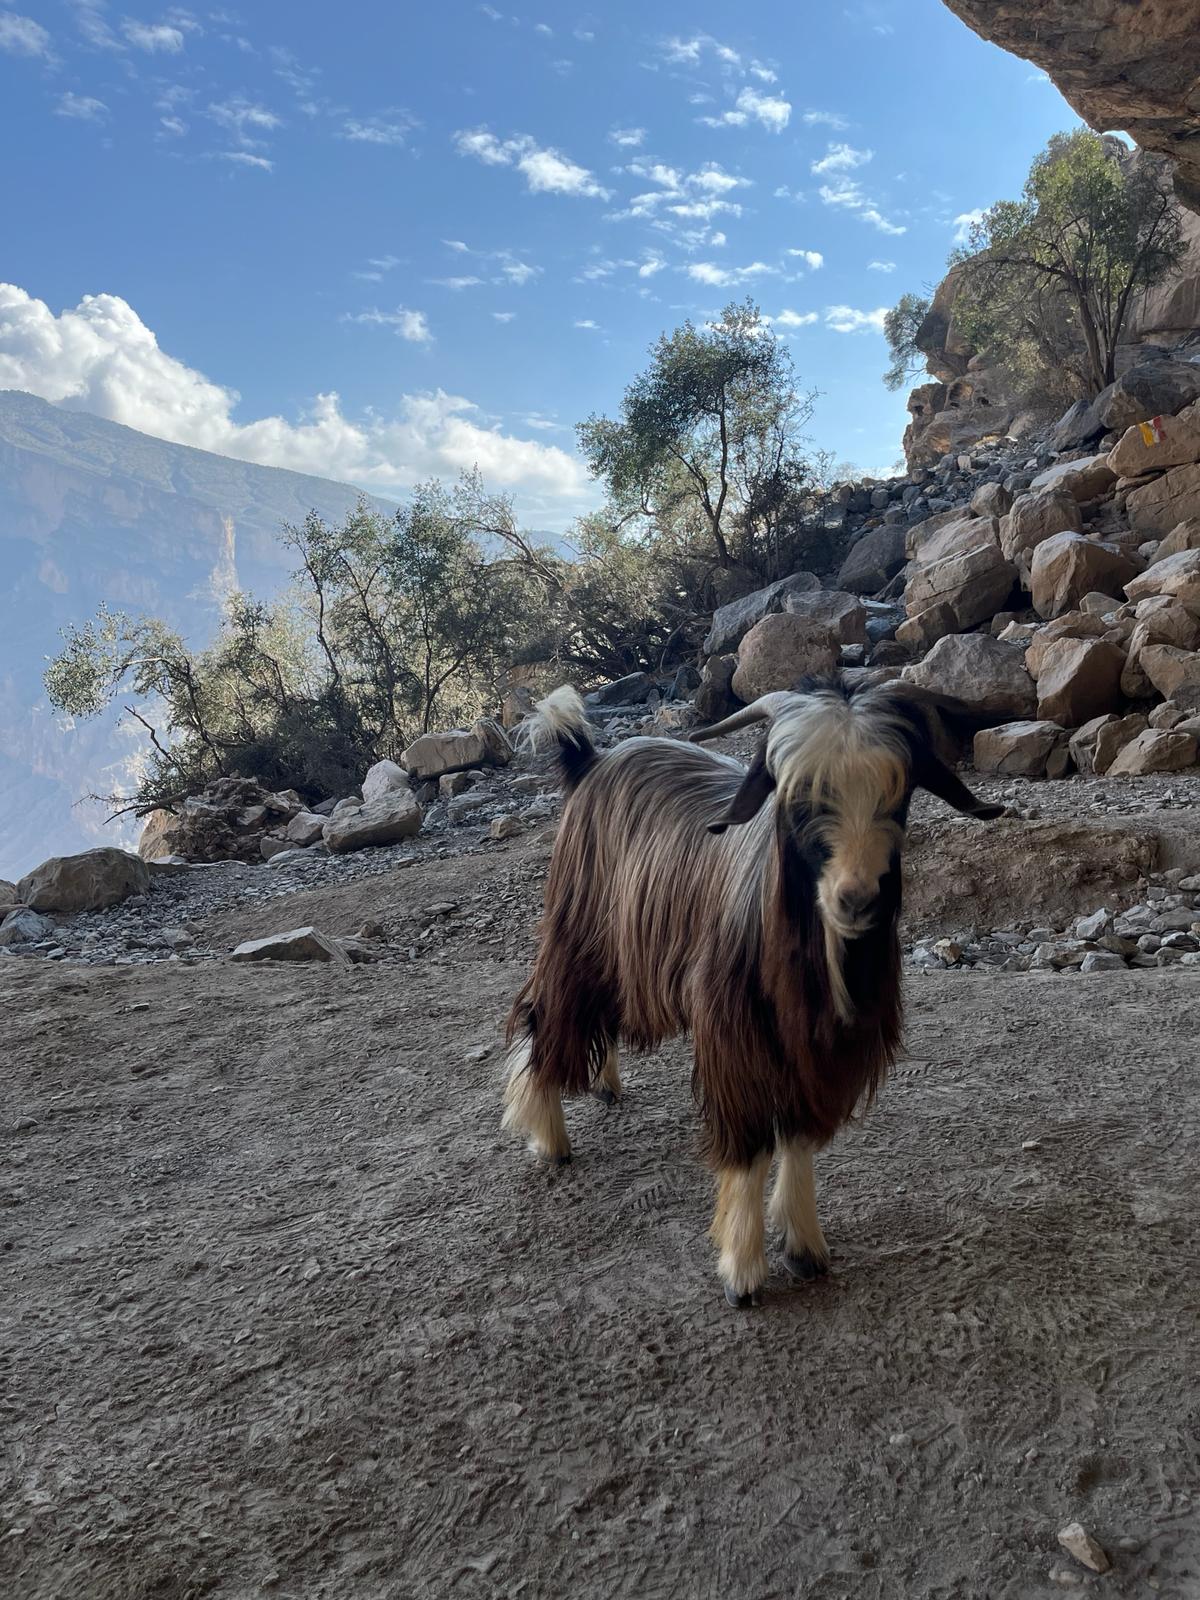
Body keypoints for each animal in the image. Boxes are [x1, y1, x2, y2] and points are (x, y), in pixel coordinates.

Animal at [501, 677, 1004, 1308]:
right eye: (796, 798)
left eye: (899, 794)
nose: (855, 899)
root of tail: (590, 760)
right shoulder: (736, 1036)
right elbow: (750, 1146)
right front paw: (741, 1270)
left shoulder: (811, 1052)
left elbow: (798, 1138)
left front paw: (805, 1245)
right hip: (577, 929)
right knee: (546, 1011)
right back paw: (548, 1136)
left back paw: (606, 1084)